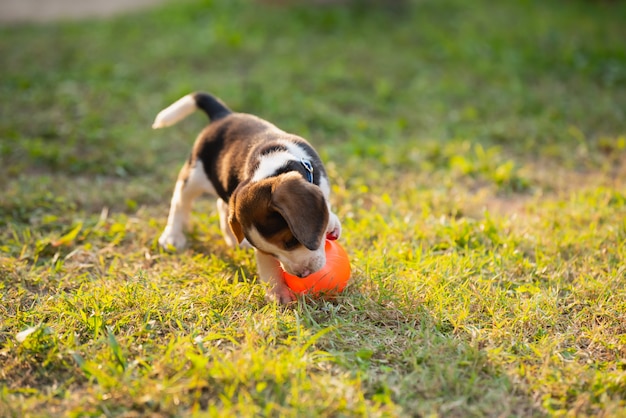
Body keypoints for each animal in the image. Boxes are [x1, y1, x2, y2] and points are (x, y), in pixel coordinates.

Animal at [155, 92, 342, 304]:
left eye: (290, 242)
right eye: (272, 252)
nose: (302, 275)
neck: (275, 166)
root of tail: (223, 115)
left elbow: (326, 205)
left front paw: (331, 223)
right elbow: (267, 266)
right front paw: (277, 293)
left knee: (222, 206)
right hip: (194, 176)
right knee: (180, 201)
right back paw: (172, 236)